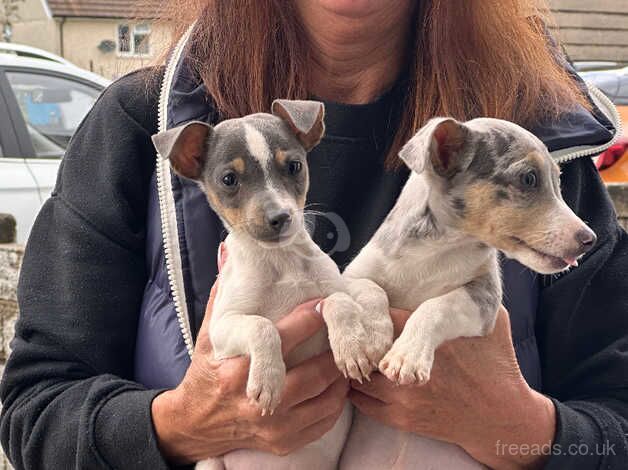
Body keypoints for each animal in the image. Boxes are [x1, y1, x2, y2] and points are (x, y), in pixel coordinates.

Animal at [152, 99, 392, 470]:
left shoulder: (332, 288)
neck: (280, 262)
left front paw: (355, 345)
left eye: (294, 166)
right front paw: (268, 378)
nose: (280, 217)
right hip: (210, 463)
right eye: (229, 179)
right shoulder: (223, 332)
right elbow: (262, 325)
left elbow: (345, 298)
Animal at [338, 115, 600, 468]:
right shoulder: (353, 275)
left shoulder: (483, 300)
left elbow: (435, 307)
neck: (435, 252)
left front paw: (408, 355)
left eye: (557, 182)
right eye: (529, 179)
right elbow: (370, 290)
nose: (590, 240)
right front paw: (365, 341)